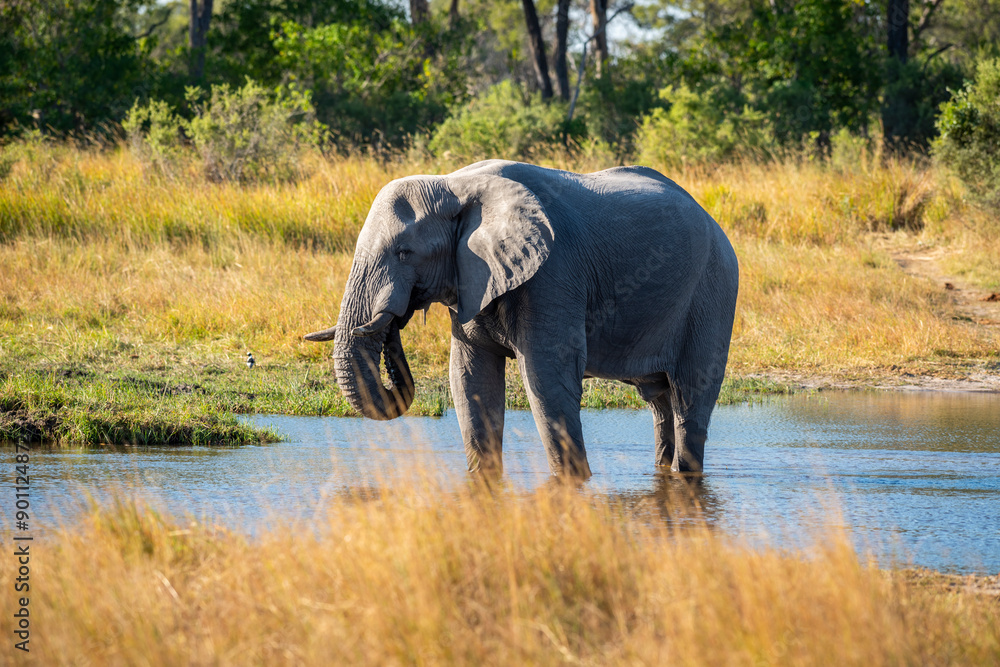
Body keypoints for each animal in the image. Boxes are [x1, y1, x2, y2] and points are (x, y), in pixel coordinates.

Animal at [305, 160, 739, 477]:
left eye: (403, 252)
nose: (394, 320)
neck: (453, 185)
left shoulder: (554, 273)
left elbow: (546, 379)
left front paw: (573, 483)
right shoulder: (472, 277)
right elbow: (470, 378)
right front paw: (482, 482)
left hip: (713, 290)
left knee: (690, 397)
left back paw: (686, 476)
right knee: (660, 400)